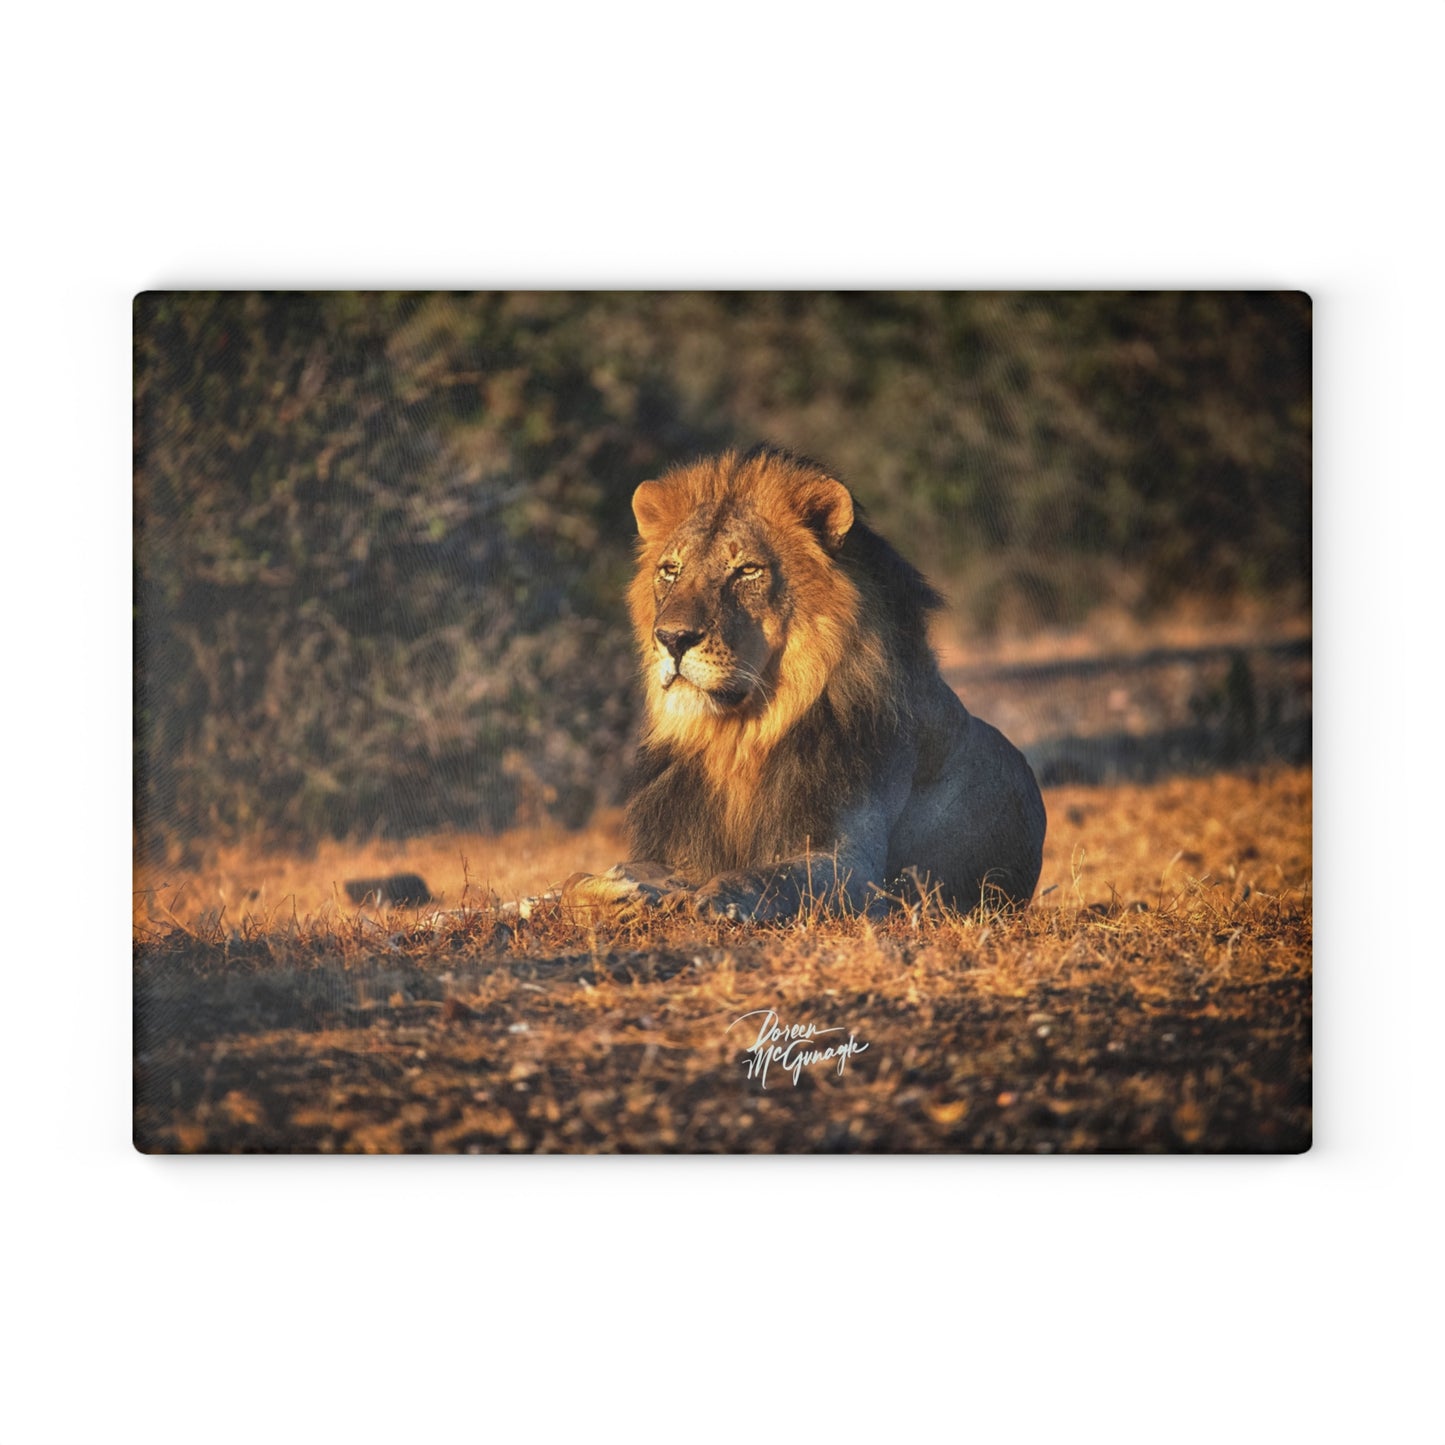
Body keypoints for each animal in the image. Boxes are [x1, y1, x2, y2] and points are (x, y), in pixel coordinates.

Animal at [563, 446, 1046, 922]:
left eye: (747, 570)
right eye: (670, 570)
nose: (672, 638)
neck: (738, 738)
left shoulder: (858, 867)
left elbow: (769, 876)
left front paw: (717, 898)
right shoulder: (679, 850)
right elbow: (576, 880)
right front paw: (614, 889)